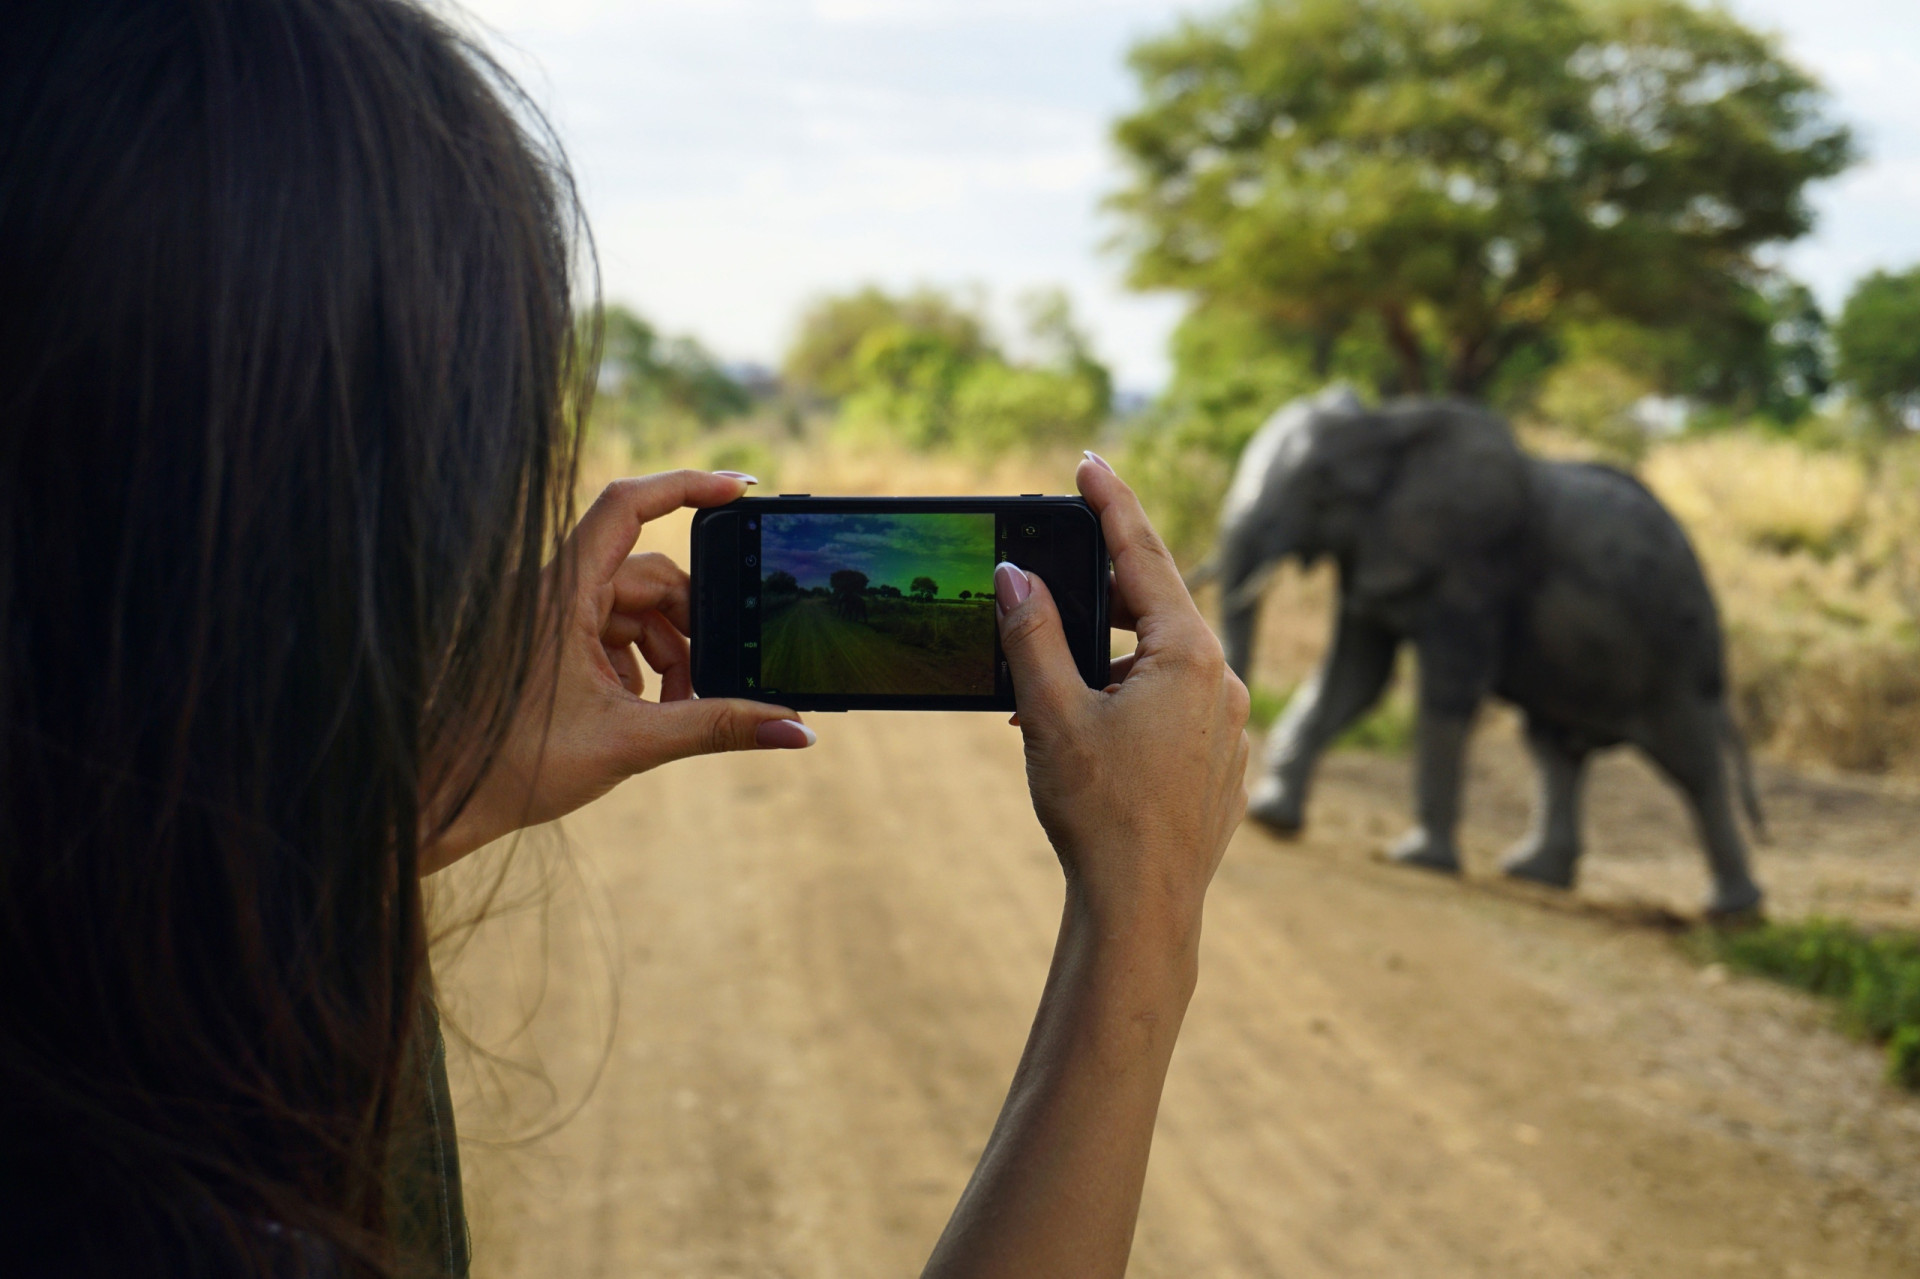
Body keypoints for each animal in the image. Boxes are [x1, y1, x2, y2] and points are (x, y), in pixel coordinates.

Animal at [1205, 384, 1758, 910]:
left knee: (1691, 762)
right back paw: (1534, 873)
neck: (1387, 425)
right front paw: (1274, 818)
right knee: (1553, 746)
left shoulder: (1474, 568)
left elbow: (1447, 687)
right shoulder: (1372, 552)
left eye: (1322, 486)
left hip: (1677, 649)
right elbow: (1355, 676)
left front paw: (1418, 859)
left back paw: (1731, 910)